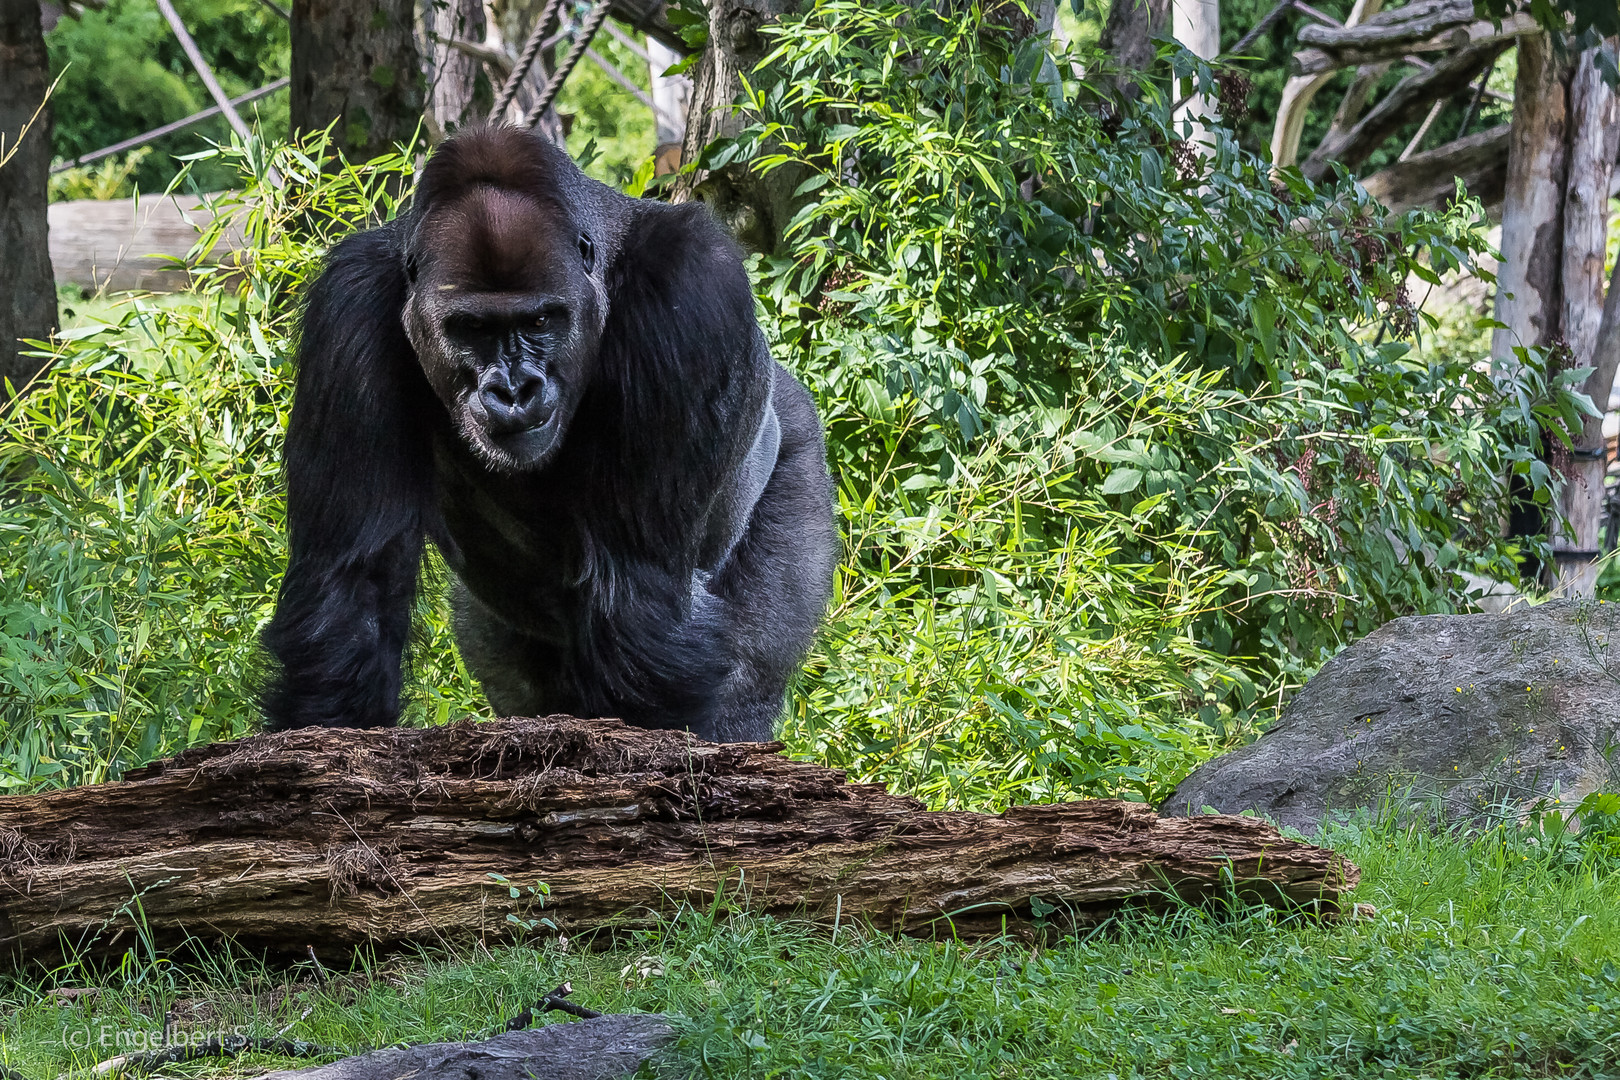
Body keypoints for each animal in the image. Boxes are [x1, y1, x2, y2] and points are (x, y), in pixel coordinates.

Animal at [259, 124, 842, 744]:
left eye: (540, 321)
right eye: (472, 328)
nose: (515, 389)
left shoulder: (691, 285)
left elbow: (638, 588)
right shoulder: (350, 303)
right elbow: (353, 581)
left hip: (798, 445)